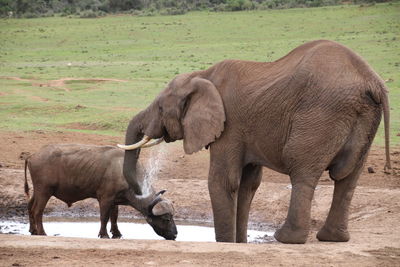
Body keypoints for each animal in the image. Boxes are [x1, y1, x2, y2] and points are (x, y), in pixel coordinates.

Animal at [23, 144, 177, 241]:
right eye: (166, 219)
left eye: (172, 217)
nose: (175, 235)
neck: (123, 172)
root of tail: (32, 156)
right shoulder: (105, 198)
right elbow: (104, 217)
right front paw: (103, 234)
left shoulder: (115, 200)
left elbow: (114, 217)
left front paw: (116, 233)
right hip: (44, 191)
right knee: (37, 211)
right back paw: (42, 232)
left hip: (37, 191)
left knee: (30, 206)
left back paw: (33, 230)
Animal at [119, 40, 390, 245]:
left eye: (160, 107)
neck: (201, 76)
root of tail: (373, 82)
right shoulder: (247, 130)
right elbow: (248, 184)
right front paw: (239, 243)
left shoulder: (229, 124)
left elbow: (223, 180)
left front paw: (226, 243)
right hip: (365, 121)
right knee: (348, 177)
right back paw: (332, 238)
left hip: (321, 114)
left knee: (303, 171)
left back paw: (286, 238)